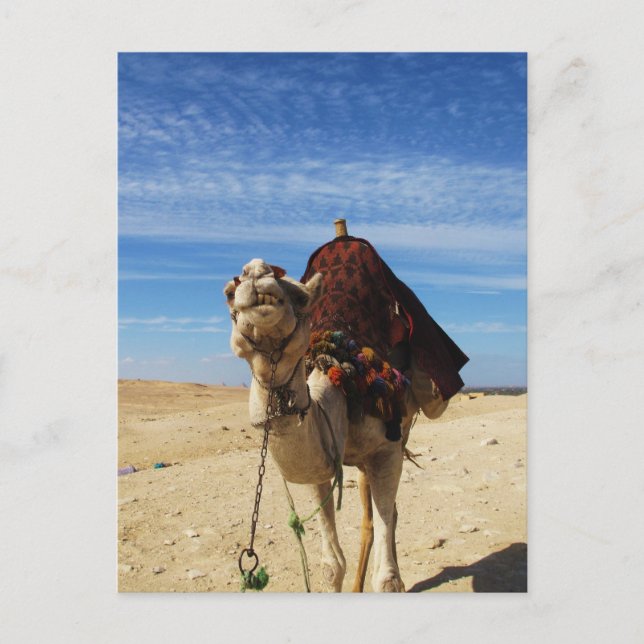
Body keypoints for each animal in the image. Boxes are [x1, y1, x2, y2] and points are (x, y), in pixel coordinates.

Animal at [225, 258, 446, 592]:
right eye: (229, 293)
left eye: (301, 297)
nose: (257, 272)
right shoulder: (320, 467)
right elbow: (332, 566)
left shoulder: (387, 450)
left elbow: (387, 580)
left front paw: (393, 579)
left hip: (400, 434)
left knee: (383, 516)